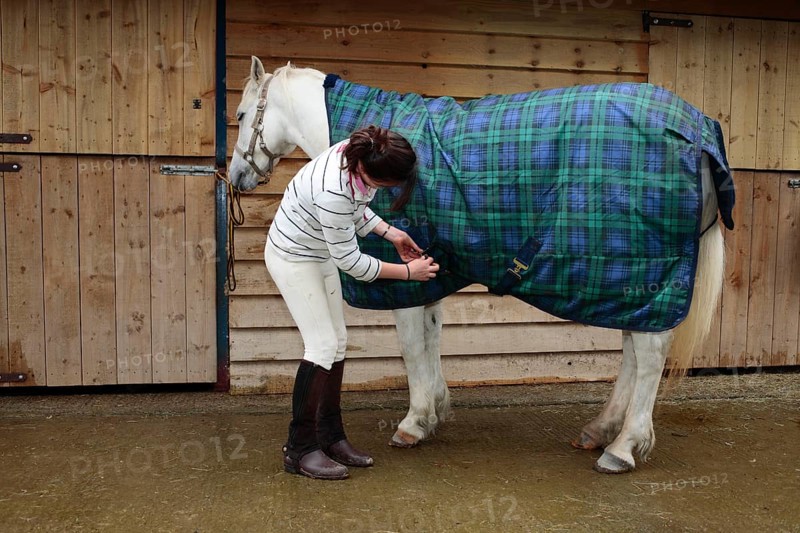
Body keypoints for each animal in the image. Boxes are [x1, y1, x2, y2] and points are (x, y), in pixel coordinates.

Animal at [228, 57, 730, 474]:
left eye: (241, 115)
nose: (236, 176)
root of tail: (698, 128)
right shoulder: (426, 275)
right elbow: (430, 340)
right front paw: (433, 412)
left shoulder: (402, 285)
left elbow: (411, 347)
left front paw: (413, 422)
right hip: (631, 282)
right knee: (633, 348)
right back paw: (600, 430)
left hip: (643, 276)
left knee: (649, 354)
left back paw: (622, 448)